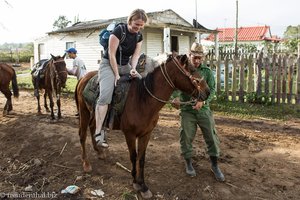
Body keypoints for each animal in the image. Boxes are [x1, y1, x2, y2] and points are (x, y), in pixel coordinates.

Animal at [75, 53, 211, 198]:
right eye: (191, 69)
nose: (208, 91)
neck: (143, 100)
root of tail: (84, 77)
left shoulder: (146, 134)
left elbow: (141, 158)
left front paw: (143, 185)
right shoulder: (129, 134)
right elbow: (133, 156)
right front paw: (135, 182)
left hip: (94, 115)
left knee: (92, 127)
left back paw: (99, 151)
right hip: (84, 112)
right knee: (82, 135)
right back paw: (86, 163)